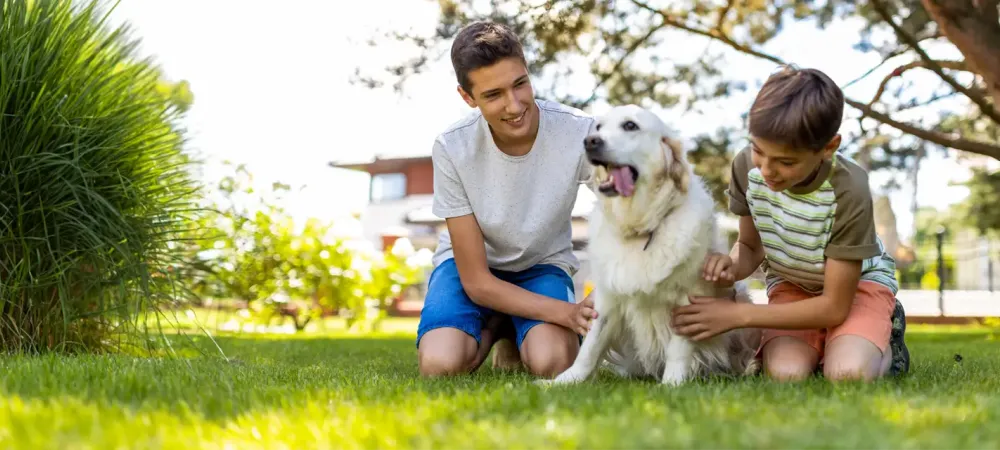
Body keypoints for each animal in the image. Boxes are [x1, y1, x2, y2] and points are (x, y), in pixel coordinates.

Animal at [548, 105, 756, 386]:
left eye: (630, 126)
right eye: (599, 127)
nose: (590, 141)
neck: (641, 227)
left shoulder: (688, 298)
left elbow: (678, 349)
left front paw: (672, 384)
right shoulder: (608, 298)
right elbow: (590, 347)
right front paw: (563, 381)